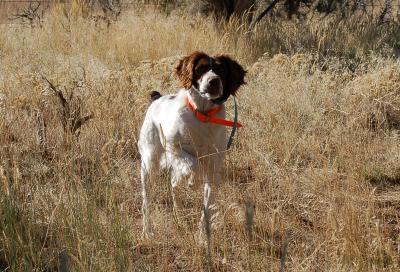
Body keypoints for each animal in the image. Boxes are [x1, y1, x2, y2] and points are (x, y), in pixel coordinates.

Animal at [138, 51, 245, 238]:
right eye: (201, 68)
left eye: (222, 70)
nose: (213, 81)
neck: (204, 116)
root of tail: (156, 98)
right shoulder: (174, 147)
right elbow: (194, 164)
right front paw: (193, 182)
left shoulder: (214, 168)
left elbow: (207, 208)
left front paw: (203, 237)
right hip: (150, 162)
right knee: (147, 200)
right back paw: (148, 231)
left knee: (174, 184)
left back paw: (179, 219)